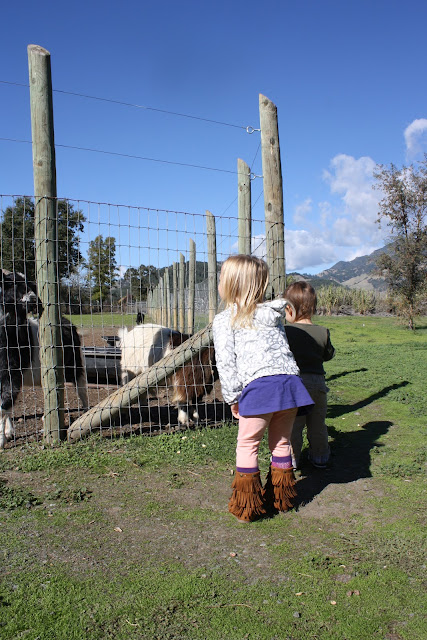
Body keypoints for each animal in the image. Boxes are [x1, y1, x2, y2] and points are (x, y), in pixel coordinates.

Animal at [0, 270, 88, 449]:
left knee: (80, 384)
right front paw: (7, 433)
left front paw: (1, 440)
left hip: (73, 363)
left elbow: (4, 404)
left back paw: (85, 410)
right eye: (11, 284)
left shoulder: (11, 372)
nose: (34, 299)